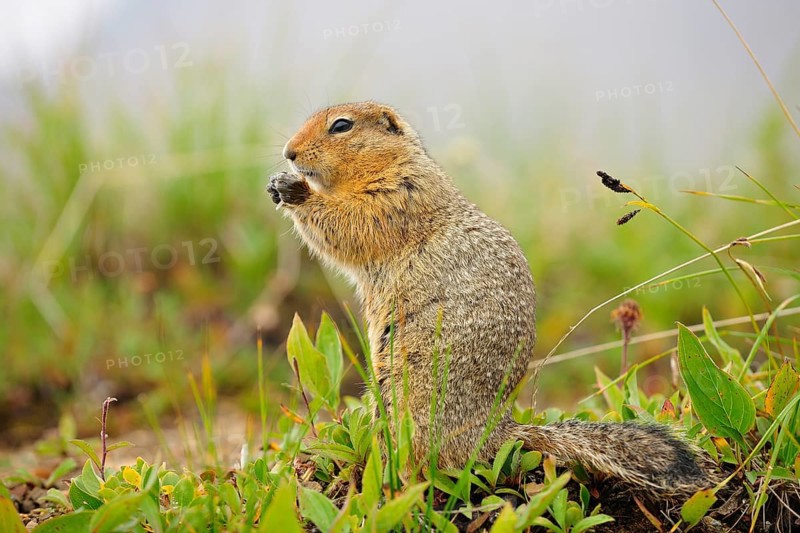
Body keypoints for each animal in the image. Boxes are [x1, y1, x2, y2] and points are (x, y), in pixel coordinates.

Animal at [267, 101, 712, 498]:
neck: (395, 163)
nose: (288, 152)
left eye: (341, 125)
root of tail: (498, 430)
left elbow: (350, 223)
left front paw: (294, 190)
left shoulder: (396, 196)